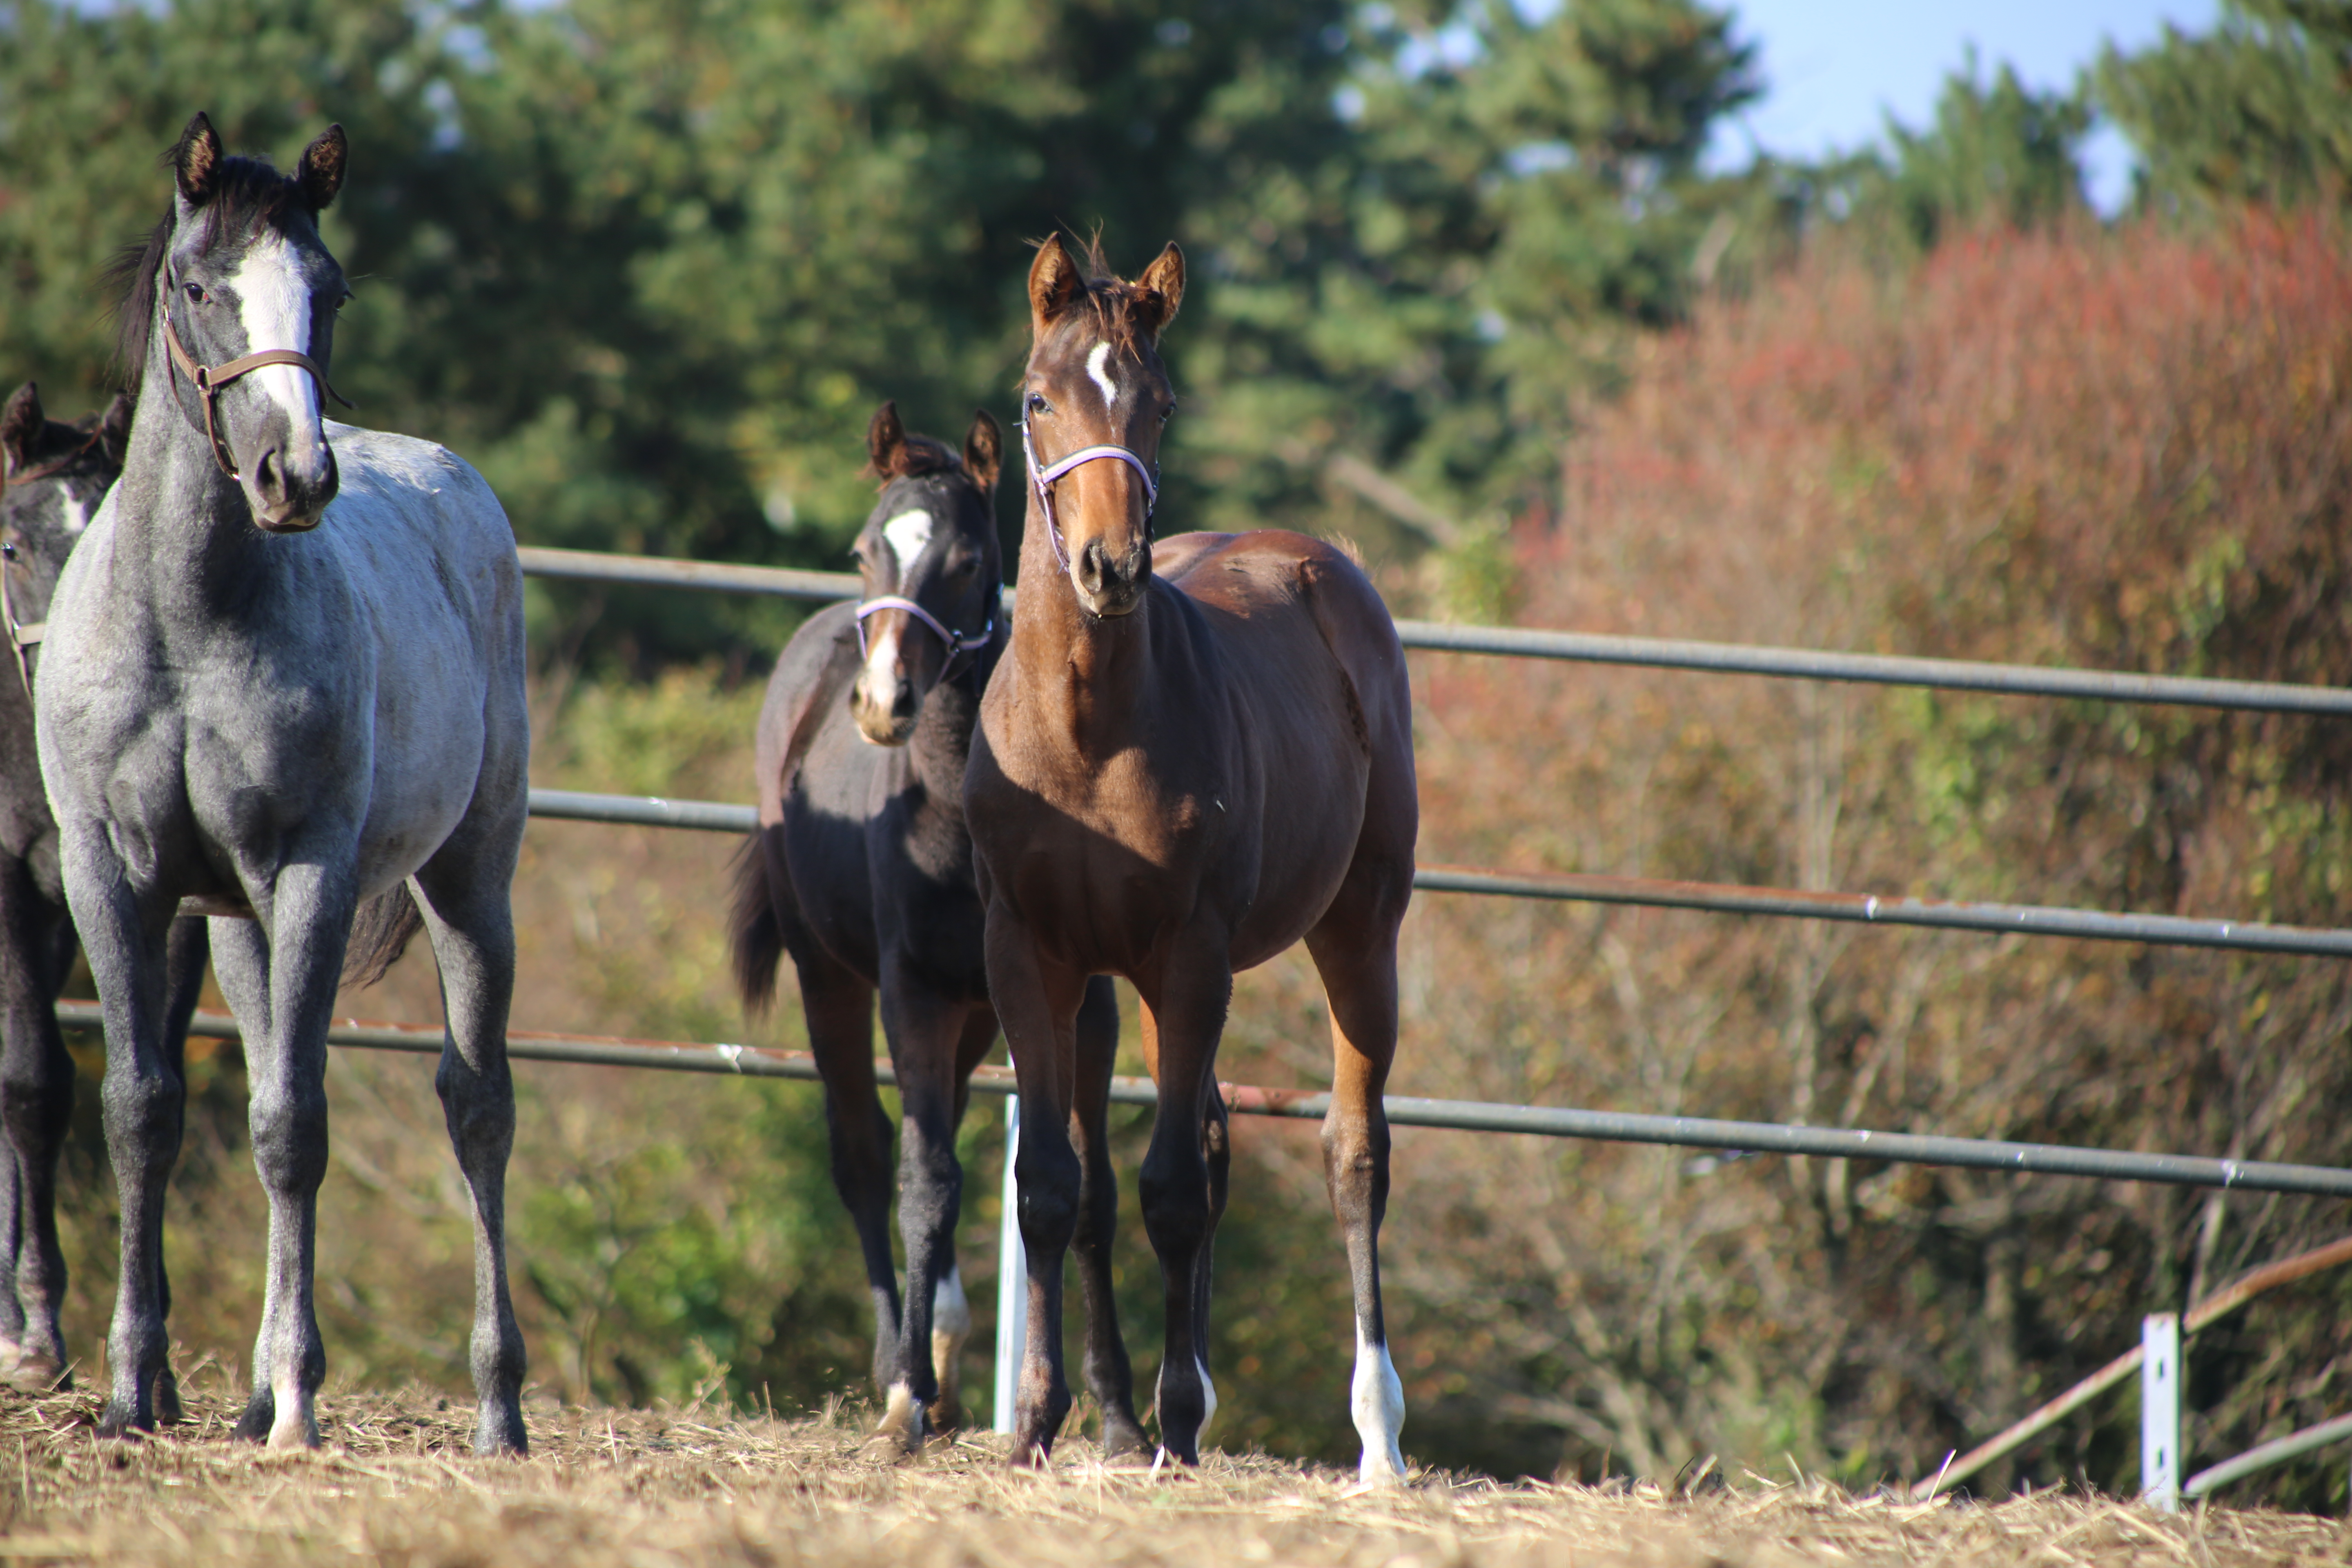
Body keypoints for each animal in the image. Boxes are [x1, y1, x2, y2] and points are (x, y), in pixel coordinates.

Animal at [39, 116, 531, 1457]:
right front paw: (131, 1391)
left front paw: (303, 1402)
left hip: (469, 878)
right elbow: (144, 1109)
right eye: (198, 287)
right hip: (242, 926)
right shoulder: (115, 878)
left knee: (477, 1105)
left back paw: (495, 1407)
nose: (294, 478)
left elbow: (295, 1129)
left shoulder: (310, 870)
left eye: (334, 291)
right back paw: (256, 1386)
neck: (187, 622)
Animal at [729, 404, 1143, 1457]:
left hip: (972, 1012)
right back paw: (902, 1364)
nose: (883, 704)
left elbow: (1087, 1188)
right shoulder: (909, 989)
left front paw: (1121, 1414)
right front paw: (906, 1396)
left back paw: (949, 1348)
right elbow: (922, 1179)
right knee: (867, 1155)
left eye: (964, 558)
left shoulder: (1079, 1005)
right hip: (831, 979)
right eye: (864, 549)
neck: (956, 806)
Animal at [969, 240, 1411, 1495]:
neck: (1084, 730)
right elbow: (1055, 1183)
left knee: (1351, 1152)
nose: (1109, 568)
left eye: (1157, 403)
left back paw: (1376, 1436)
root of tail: (1318, 565)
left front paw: (1167, 1424)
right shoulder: (1031, 952)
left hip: (1357, 928)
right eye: (1037, 399)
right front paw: (1043, 1423)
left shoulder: (1190, 951)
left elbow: (1167, 1187)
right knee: (1197, 1141)